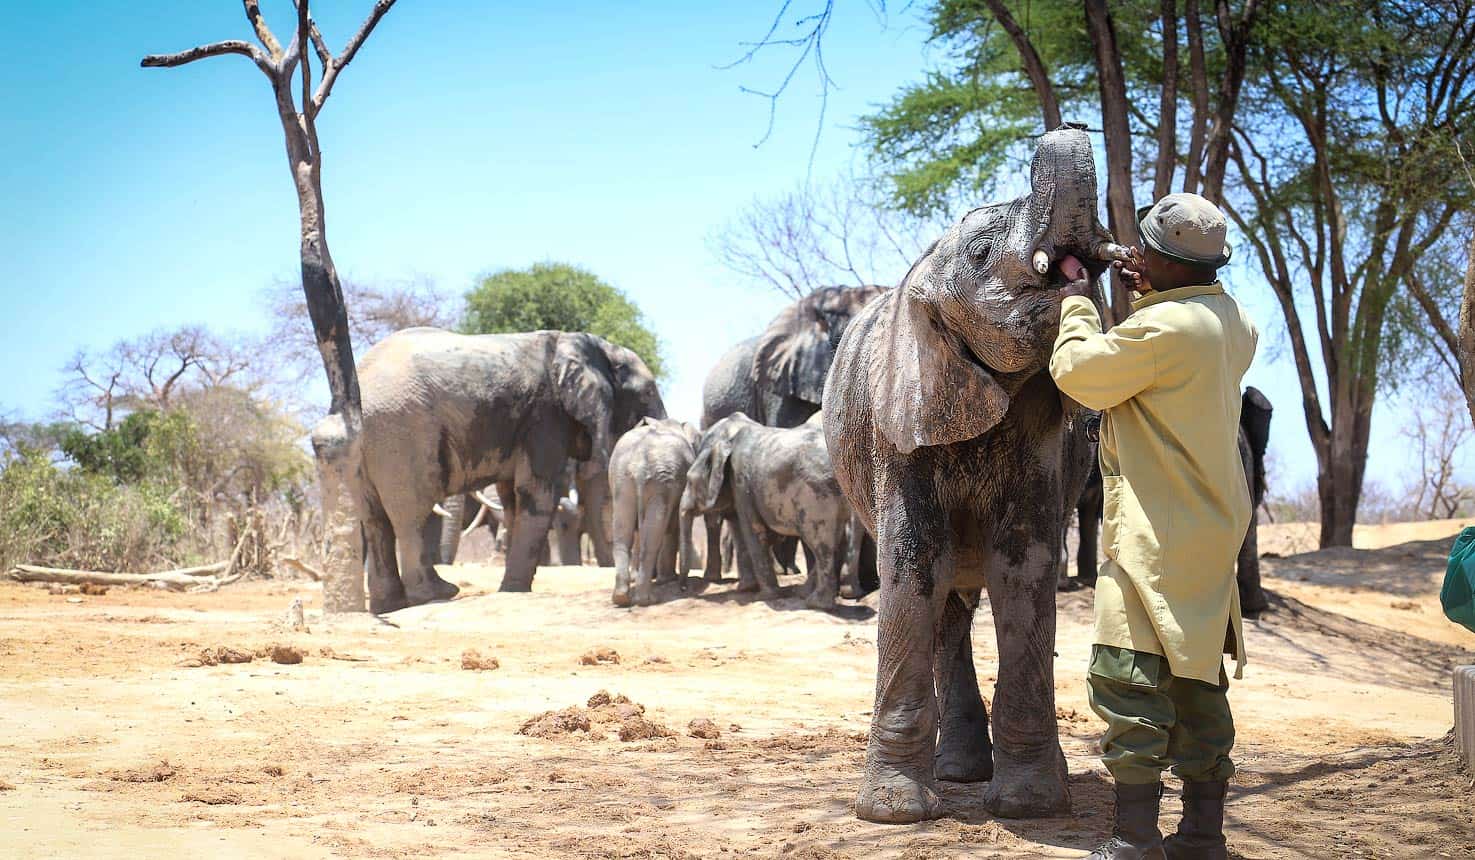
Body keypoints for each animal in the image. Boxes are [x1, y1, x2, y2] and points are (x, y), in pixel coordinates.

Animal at [315, 327, 665, 612]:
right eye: (648, 392)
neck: (591, 345)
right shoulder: (546, 414)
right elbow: (537, 492)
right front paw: (515, 590)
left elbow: (512, 498)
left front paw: (512, 588)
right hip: (402, 432)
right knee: (411, 514)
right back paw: (437, 593)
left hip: (366, 443)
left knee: (375, 519)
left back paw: (390, 606)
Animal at [609, 417, 702, 606]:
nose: (683, 588)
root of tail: (638, 464)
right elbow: (672, 527)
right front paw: (668, 580)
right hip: (660, 482)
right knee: (655, 533)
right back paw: (648, 599)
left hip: (623, 478)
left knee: (624, 532)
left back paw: (621, 598)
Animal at [684, 412, 858, 610]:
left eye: (689, 481)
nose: (684, 588)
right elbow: (740, 526)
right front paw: (746, 589)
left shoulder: (741, 480)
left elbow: (753, 530)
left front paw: (764, 596)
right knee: (838, 542)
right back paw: (804, 593)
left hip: (818, 495)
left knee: (821, 545)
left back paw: (816, 604)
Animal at [823, 124, 1125, 823]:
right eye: (985, 251)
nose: (1072, 126)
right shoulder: (898, 425)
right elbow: (914, 561)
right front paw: (895, 814)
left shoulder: (1043, 431)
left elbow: (1022, 564)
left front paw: (1030, 806)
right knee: (943, 603)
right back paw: (953, 775)